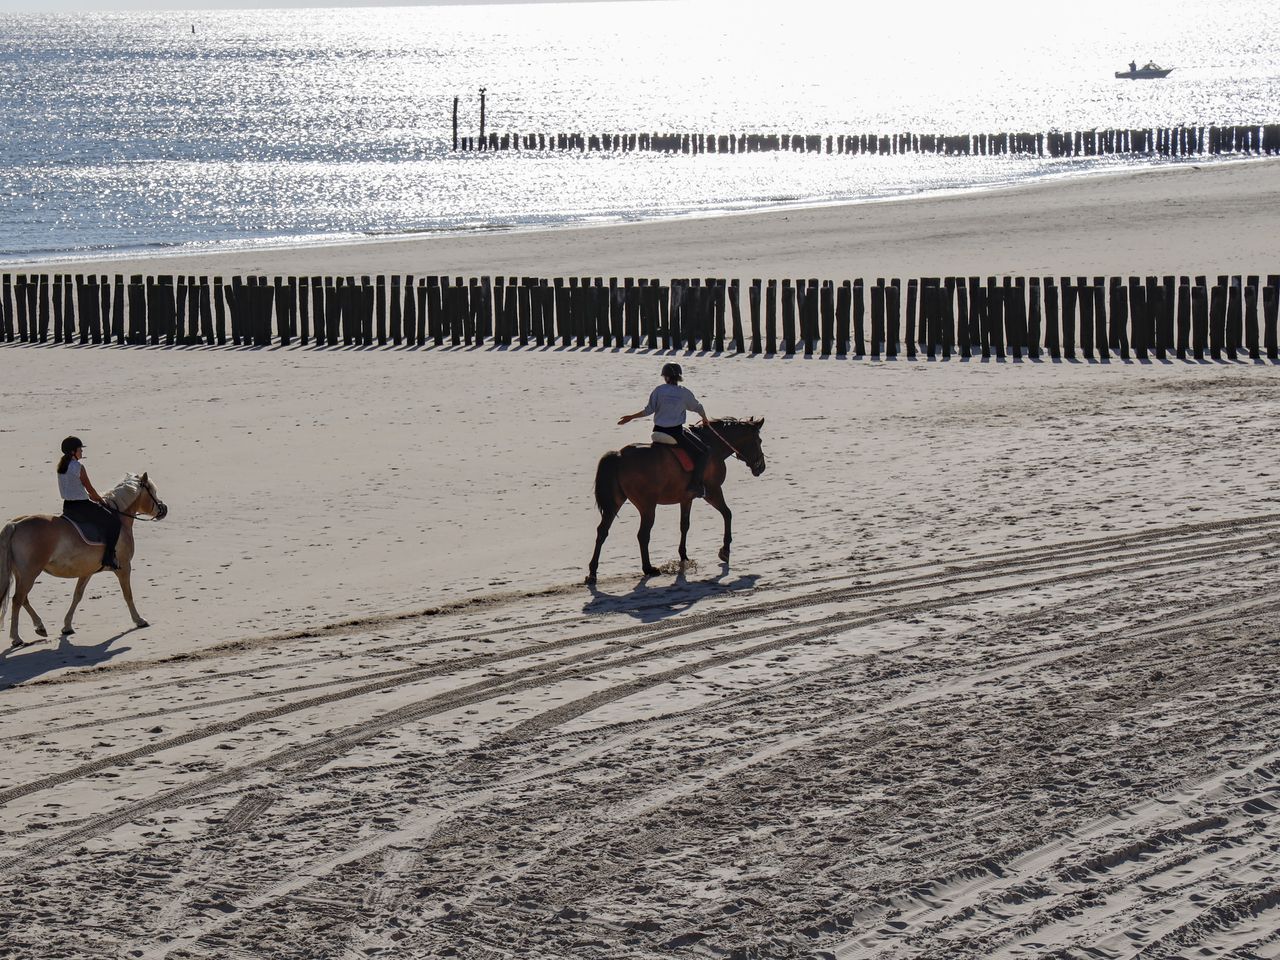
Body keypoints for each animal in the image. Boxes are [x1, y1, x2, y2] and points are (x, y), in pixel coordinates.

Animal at [1, 476, 168, 650]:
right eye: (153, 491)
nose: (164, 508)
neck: (119, 518)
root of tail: (15, 524)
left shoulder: (87, 571)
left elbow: (77, 596)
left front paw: (67, 626)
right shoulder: (124, 567)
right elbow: (127, 594)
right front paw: (139, 620)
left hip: (22, 574)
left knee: (23, 599)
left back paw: (40, 627)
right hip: (30, 573)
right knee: (17, 600)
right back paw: (16, 638)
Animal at [586, 419, 762, 586]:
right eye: (759, 441)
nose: (762, 467)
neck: (713, 443)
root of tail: (620, 455)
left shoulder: (686, 498)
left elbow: (684, 525)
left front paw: (683, 555)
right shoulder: (713, 491)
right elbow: (727, 514)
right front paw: (725, 550)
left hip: (616, 503)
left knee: (602, 531)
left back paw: (593, 573)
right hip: (647, 506)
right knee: (642, 535)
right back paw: (648, 568)